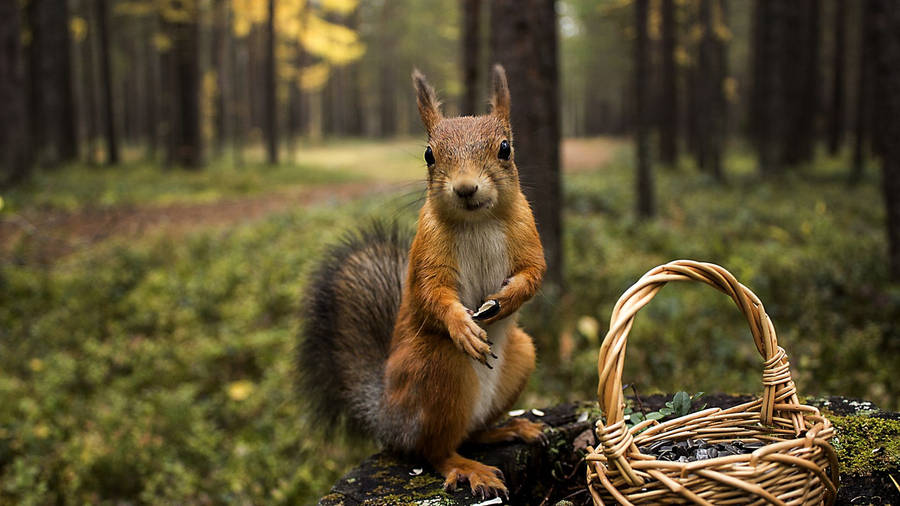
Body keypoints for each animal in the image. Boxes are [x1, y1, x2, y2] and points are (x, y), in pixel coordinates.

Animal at [298, 65, 544, 500]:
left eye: (505, 148)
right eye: (429, 155)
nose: (465, 188)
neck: (478, 221)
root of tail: (388, 418)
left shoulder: (527, 234)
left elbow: (534, 273)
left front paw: (507, 299)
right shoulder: (427, 251)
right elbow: (432, 293)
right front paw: (463, 326)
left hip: (521, 355)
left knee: (471, 432)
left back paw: (509, 429)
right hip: (436, 368)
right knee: (434, 449)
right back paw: (467, 467)